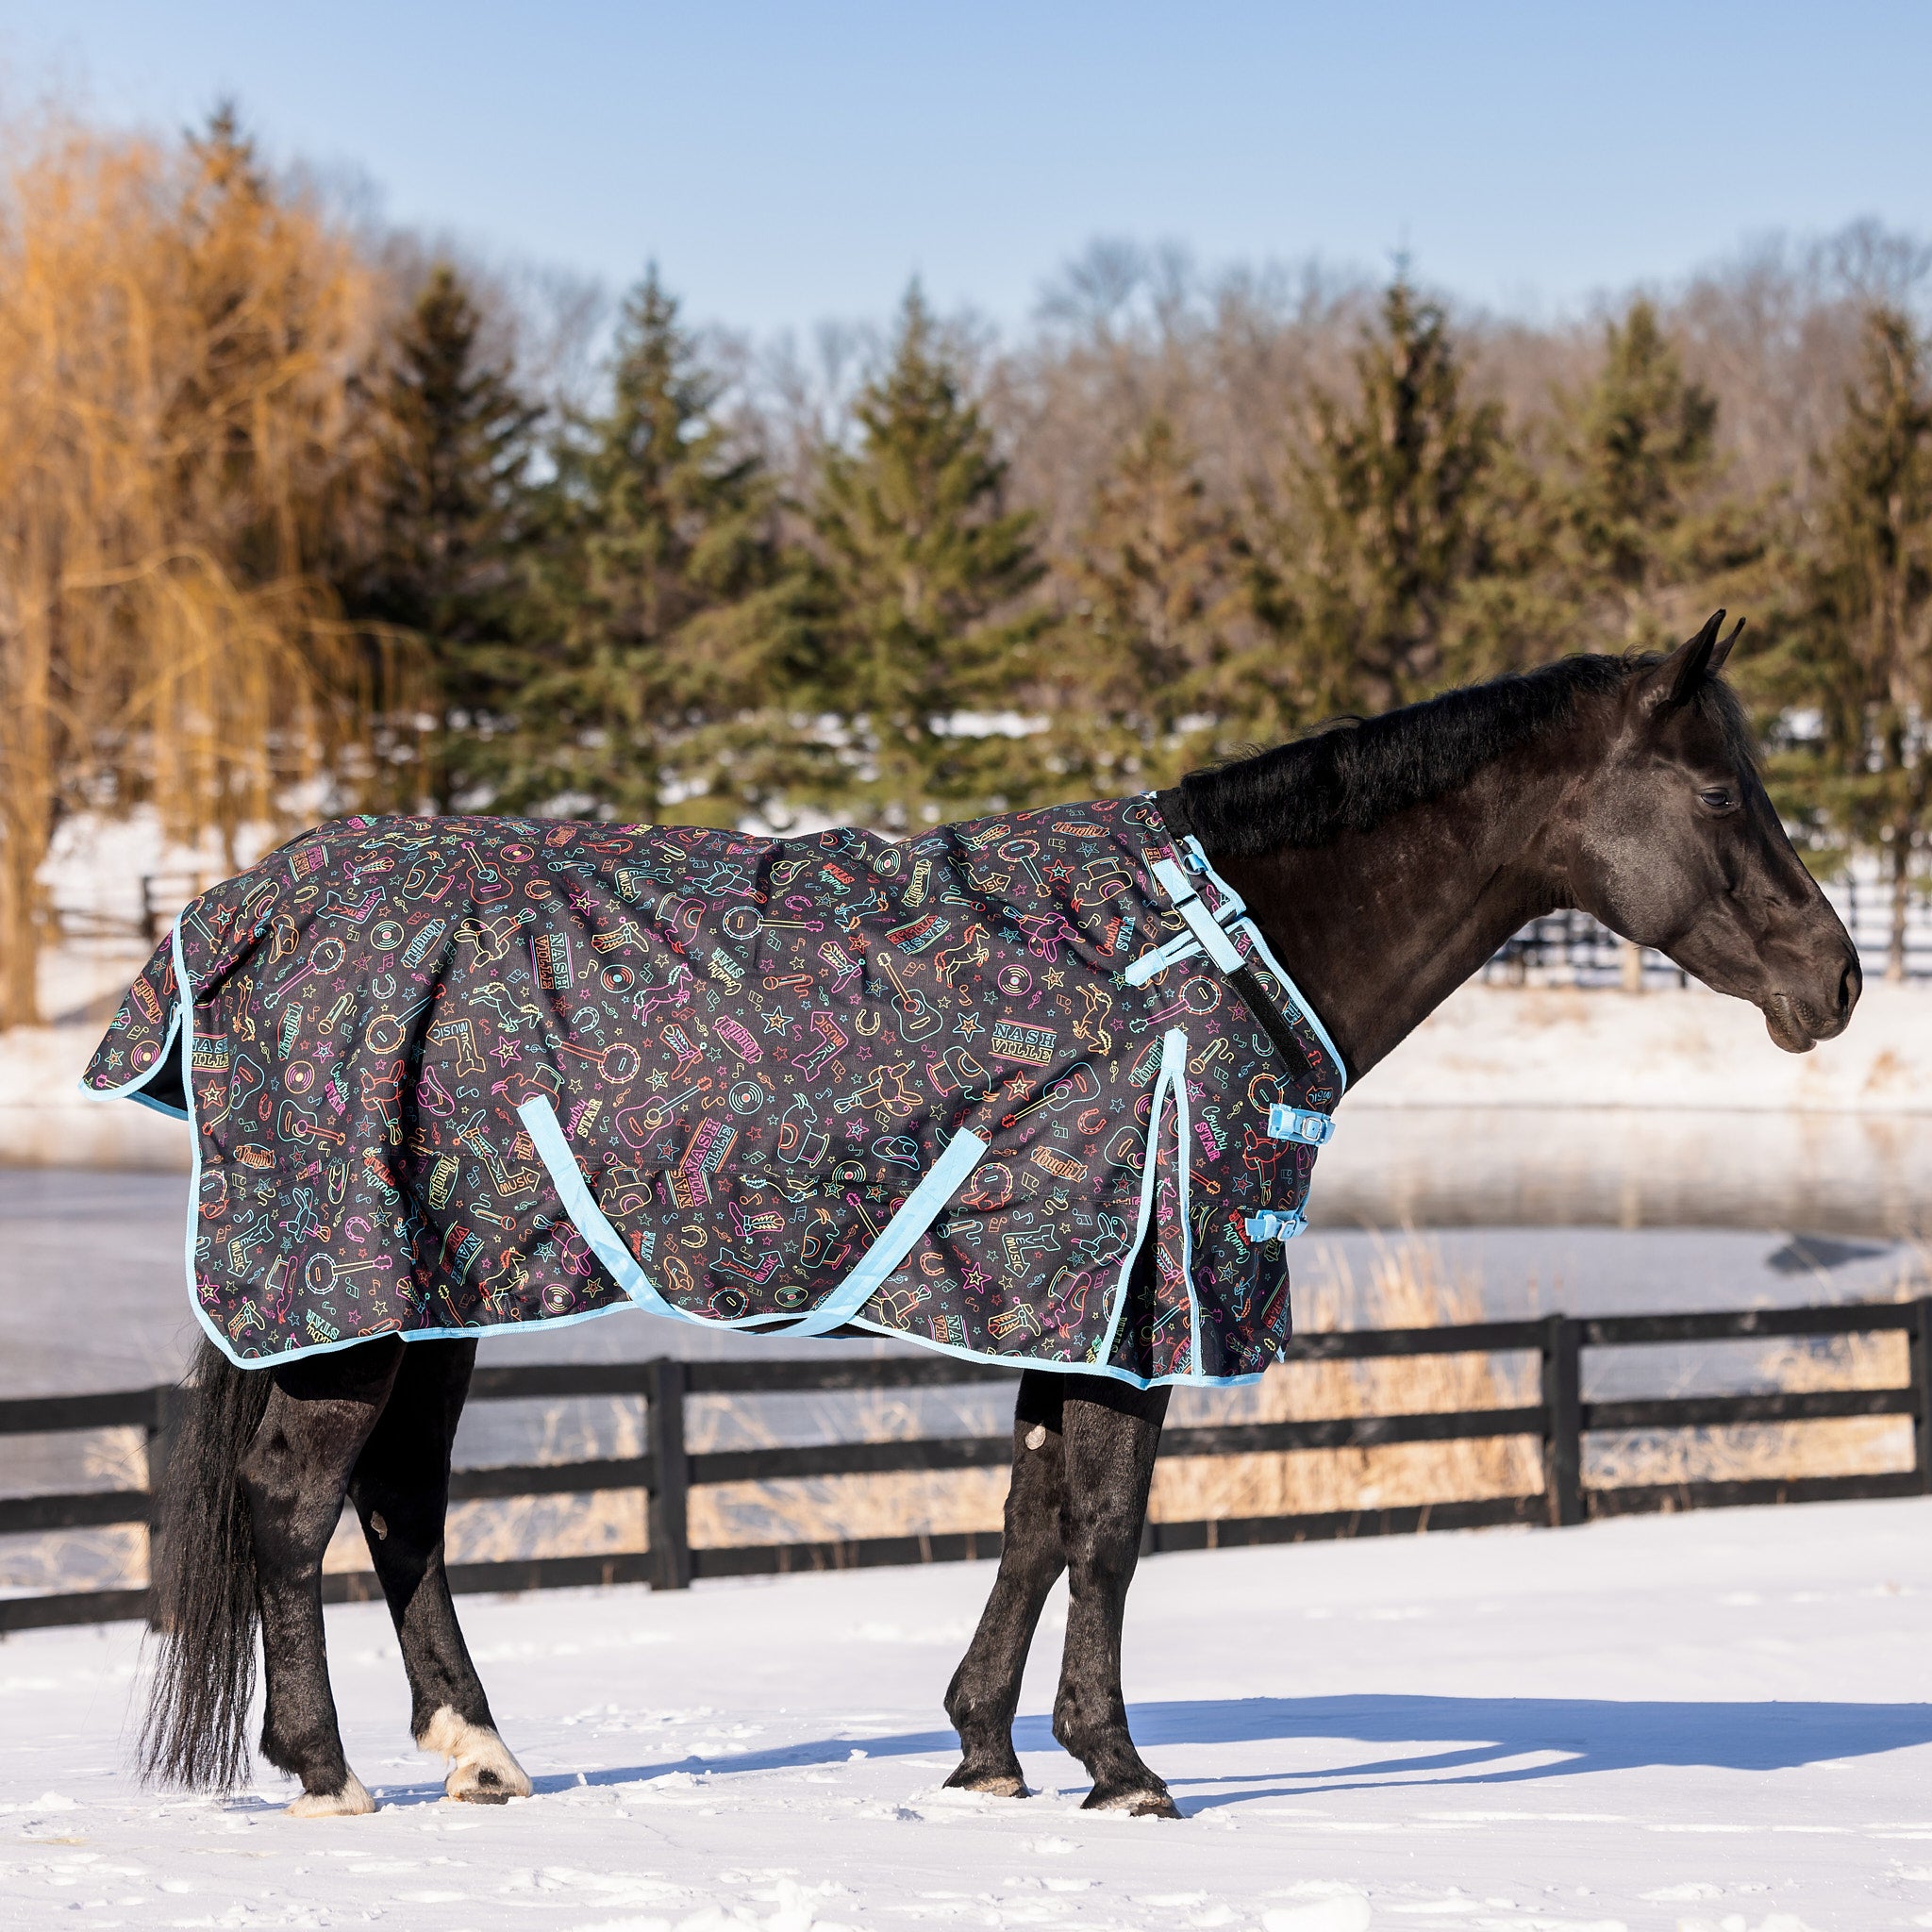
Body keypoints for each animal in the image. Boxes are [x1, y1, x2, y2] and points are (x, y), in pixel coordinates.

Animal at [127, 614, 1859, 1819]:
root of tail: (242, 905)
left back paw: (478, 1752)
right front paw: (1124, 1767)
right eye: (1719, 787)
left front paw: (986, 1753)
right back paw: (328, 1770)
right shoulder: (1142, 1302)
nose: (1832, 980)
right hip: (354, 1294)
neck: (1211, 946)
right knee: (293, 1502)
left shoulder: (1074, 1302)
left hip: (440, 1290)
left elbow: (1033, 1515)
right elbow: (1107, 1530)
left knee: (399, 1502)